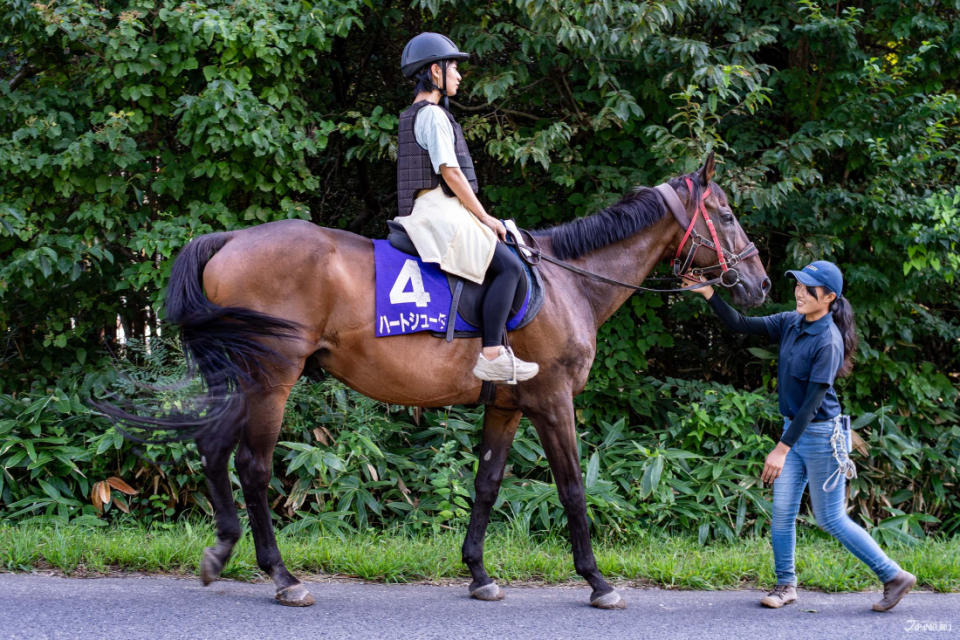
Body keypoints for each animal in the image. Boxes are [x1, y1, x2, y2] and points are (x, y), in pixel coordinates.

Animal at [105, 152, 768, 608]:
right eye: (727, 215)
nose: (760, 285)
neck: (569, 281)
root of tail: (230, 240)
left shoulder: (508, 405)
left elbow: (487, 485)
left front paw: (478, 573)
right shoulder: (553, 400)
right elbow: (573, 488)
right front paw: (598, 580)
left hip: (244, 378)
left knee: (214, 449)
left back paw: (222, 550)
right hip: (271, 379)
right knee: (253, 466)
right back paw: (282, 576)